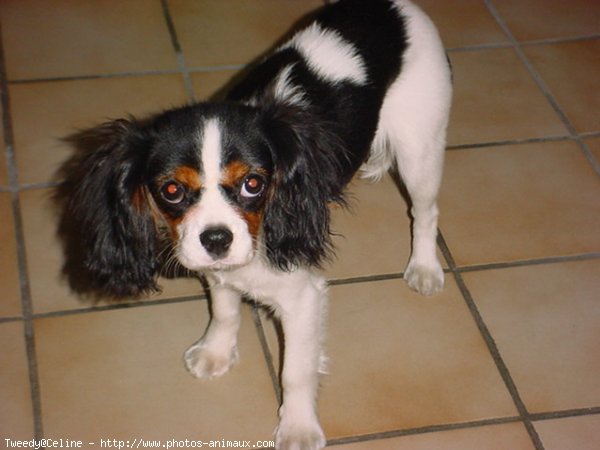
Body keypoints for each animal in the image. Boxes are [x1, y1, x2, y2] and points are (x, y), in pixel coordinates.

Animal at [61, 0, 452, 450]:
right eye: (172, 190)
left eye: (253, 184)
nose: (217, 238)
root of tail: (394, 7)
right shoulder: (216, 269)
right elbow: (224, 309)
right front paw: (216, 351)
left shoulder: (303, 297)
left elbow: (295, 370)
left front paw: (298, 427)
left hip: (420, 146)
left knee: (425, 211)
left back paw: (424, 267)